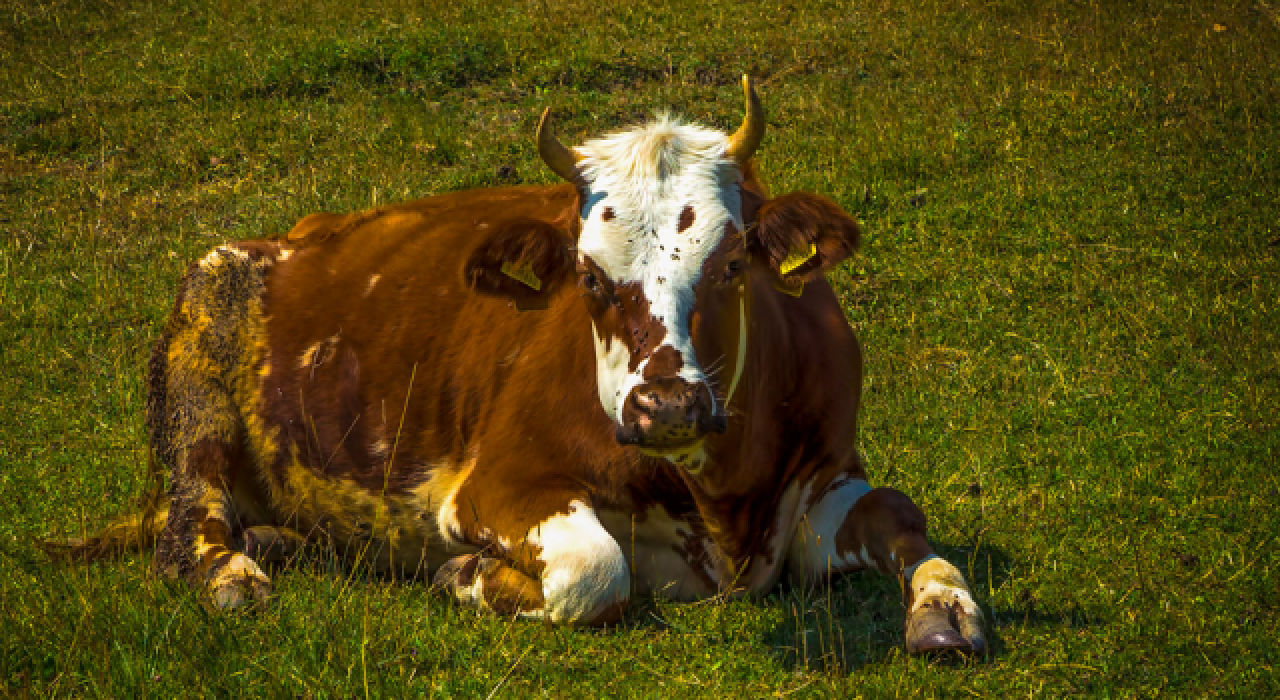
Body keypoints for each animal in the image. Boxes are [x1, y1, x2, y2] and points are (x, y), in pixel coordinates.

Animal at [49, 78, 983, 655]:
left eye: (731, 264)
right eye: (588, 276)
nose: (666, 407)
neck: (724, 509)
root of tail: (275, 239)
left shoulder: (830, 467)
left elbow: (900, 515)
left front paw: (946, 610)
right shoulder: (491, 484)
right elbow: (595, 571)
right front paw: (463, 575)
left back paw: (280, 539)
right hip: (197, 377)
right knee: (186, 530)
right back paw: (236, 572)